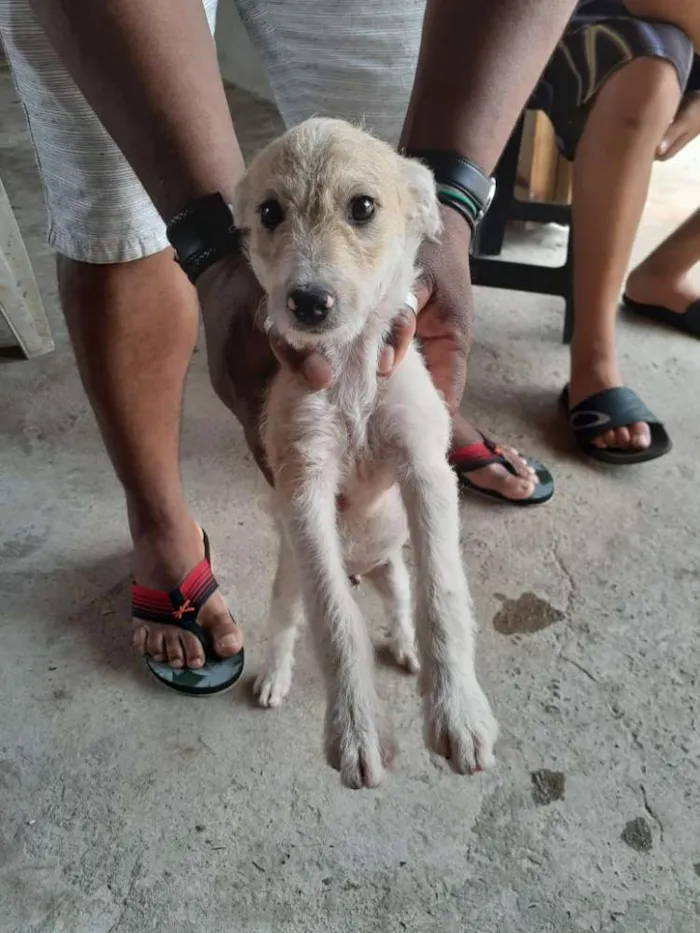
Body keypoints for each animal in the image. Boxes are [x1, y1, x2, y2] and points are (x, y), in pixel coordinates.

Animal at [237, 118, 498, 788]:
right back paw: (273, 676)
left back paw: (404, 646)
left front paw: (458, 712)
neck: (352, 370)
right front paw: (355, 729)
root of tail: (363, 567)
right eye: (270, 212)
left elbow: (443, 597)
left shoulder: (425, 469)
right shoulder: (304, 488)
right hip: (288, 577)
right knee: (287, 622)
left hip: (390, 566)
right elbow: (334, 621)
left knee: (403, 600)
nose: (307, 302)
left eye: (362, 208)